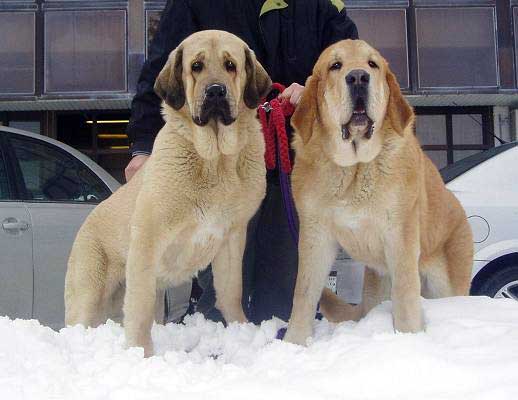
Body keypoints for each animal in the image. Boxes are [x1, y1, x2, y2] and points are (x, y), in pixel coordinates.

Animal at [65, 31, 272, 356]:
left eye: (230, 65)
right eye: (196, 66)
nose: (215, 92)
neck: (215, 160)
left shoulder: (231, 237)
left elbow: (231, 292)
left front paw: (241, 331)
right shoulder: (148, 239)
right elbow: (138, 311)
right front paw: (141, 353)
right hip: (89, 292)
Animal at [284, 41, 476, 346]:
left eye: (372, 64)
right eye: (335, 66)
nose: (358, 77)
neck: (354, 168)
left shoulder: (400, 235)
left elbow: (406, 293)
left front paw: (408, 337)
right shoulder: (316, 235)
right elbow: (304, 293)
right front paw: (294, 343)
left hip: (446, 280)